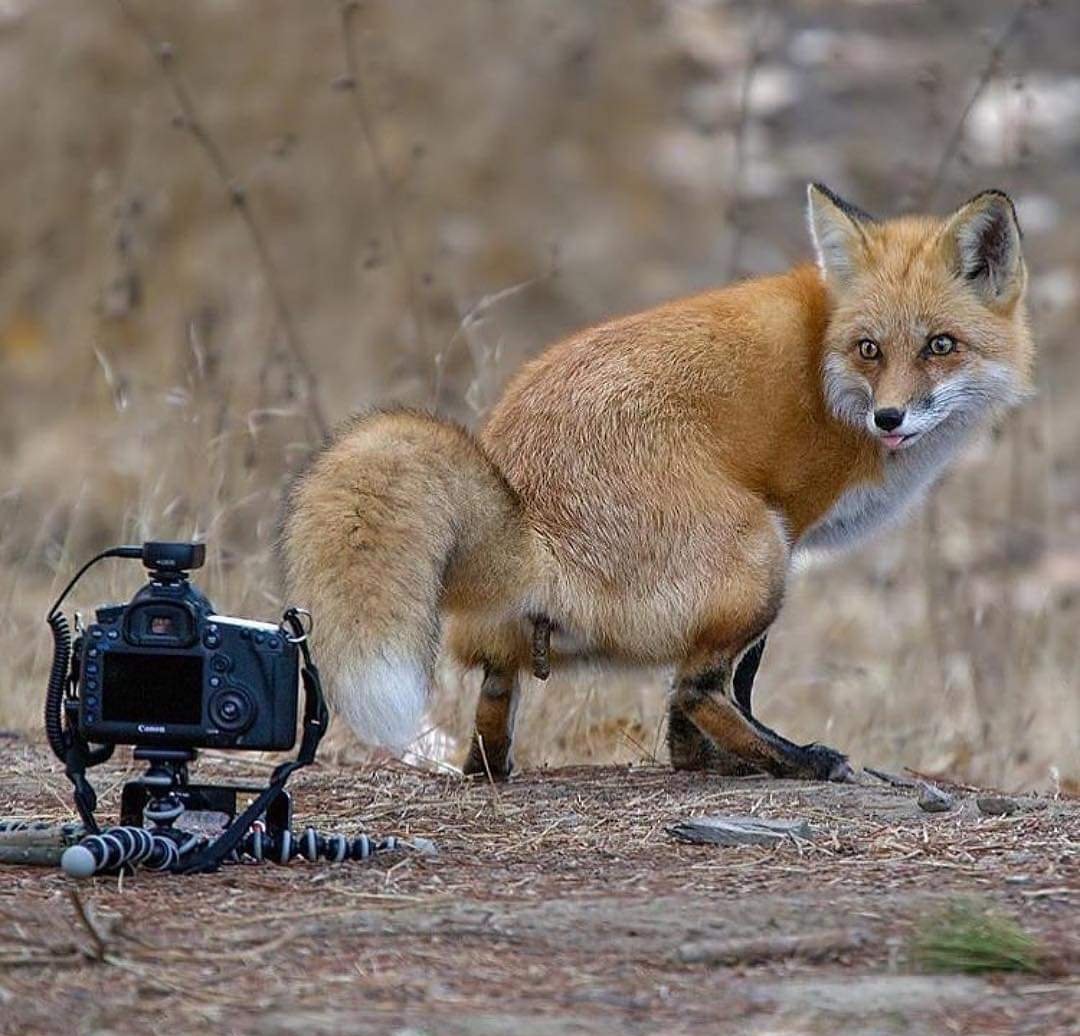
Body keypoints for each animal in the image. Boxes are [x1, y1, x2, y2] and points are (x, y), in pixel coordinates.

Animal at [282, 184, 1033, 782]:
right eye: (869, 349)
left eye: (941, 345)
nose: (889, 417)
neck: (827, 371)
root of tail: (531, 521)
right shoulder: (792, 526)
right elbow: (736, 681)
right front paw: (722, 755)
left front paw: (694, 758)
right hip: (756, 553)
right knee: (696, 687)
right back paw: (797, 761)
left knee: (498, 702)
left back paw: (498, 766)